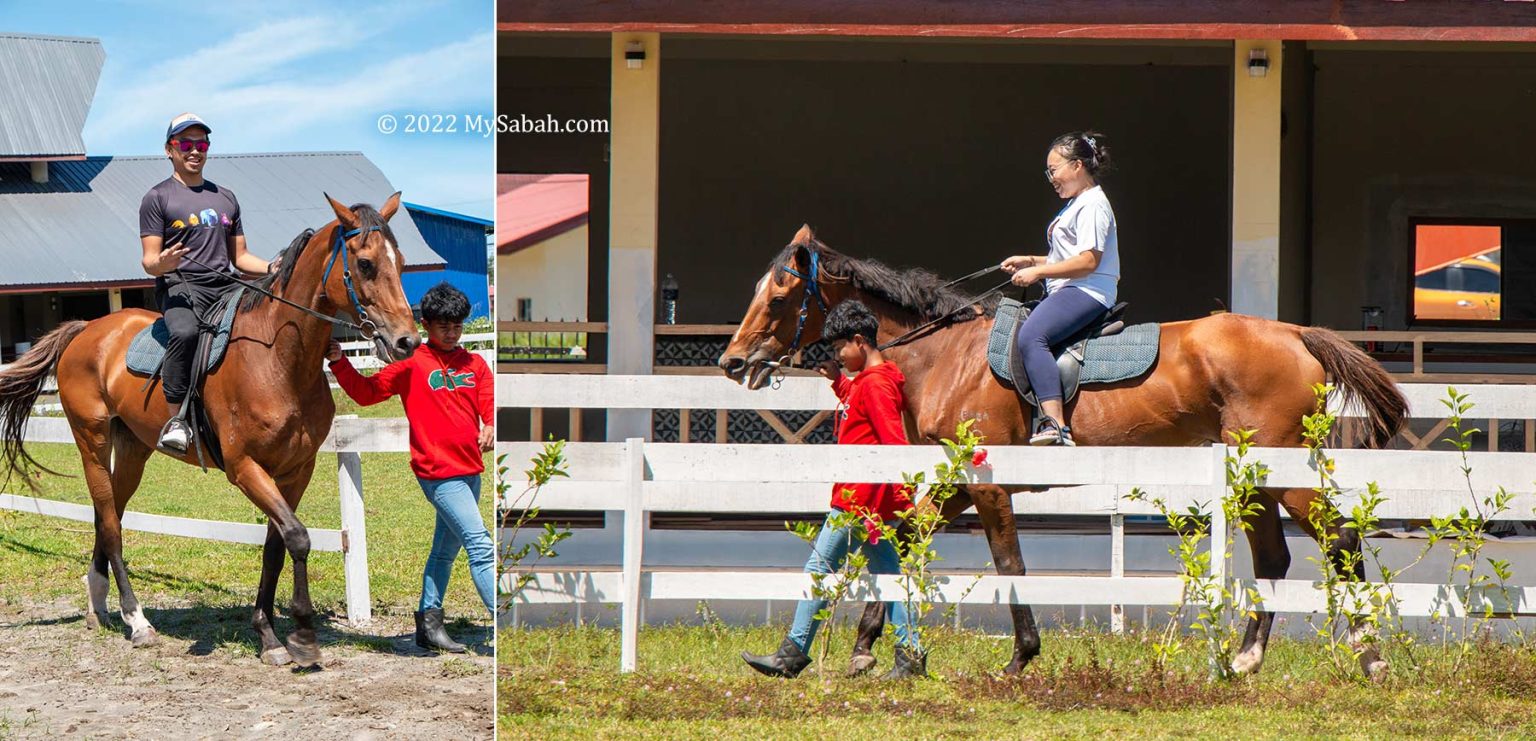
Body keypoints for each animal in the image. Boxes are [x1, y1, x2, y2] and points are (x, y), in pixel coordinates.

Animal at [0, 192, 420, 667]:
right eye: (365, 263)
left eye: (401, 262)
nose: (407, 341)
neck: (278, 358)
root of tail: (86, 330)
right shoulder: (244, 467)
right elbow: (297, 537)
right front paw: (301, 636)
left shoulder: (296, 470)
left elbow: (276, 546)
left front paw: (268, 634)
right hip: (92, 440)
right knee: (109, 523)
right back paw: (137, 622)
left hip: (132, 449)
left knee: (109, 516)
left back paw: (98, 604)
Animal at [718, 224, 1406, 676]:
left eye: (778, 297)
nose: (732, 363)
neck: (945, 353)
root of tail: (1294, 332)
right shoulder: (957, 481)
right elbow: (908, 539)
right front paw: (865, 650)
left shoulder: (987, 483)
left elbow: (1010, 564)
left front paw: (1019, 659)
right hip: (1252, 477)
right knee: (1274, 558)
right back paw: (1245, 661)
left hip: (1283, 474)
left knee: (1341, 543)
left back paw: (1370, 659)